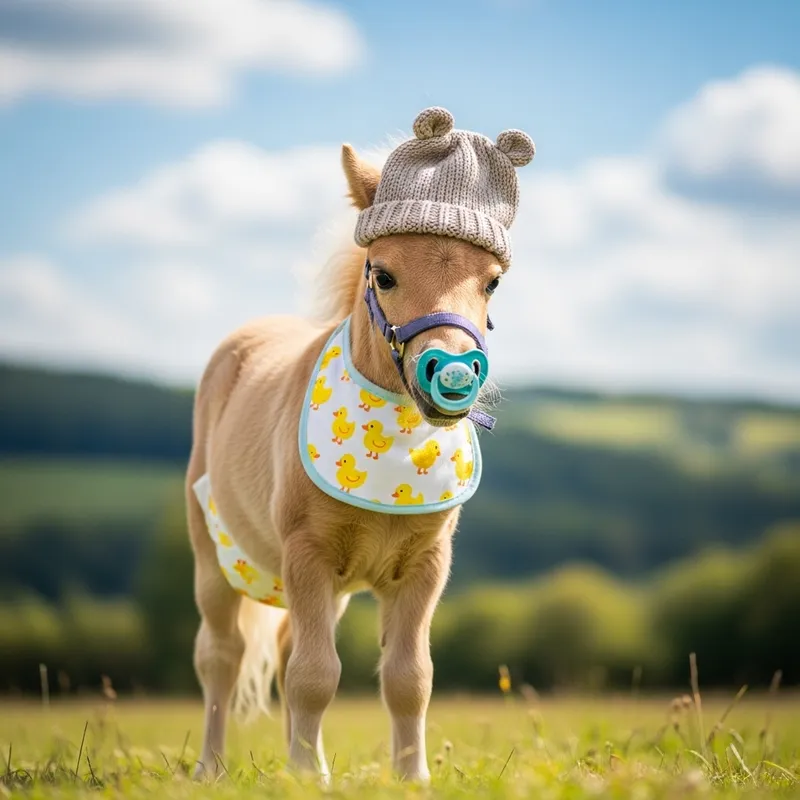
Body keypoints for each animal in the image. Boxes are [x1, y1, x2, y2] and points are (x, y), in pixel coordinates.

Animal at [186, 118, 530, 781]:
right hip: (215, 560)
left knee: (286, 648)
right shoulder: (307, 556)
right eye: (384, 274)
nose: (451, 375)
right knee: (222, 656)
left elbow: (408, 679)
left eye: (493, 282)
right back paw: (210, 771)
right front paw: (306, 780)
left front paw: (409, 779)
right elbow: (315, 676)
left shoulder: (424, 568)